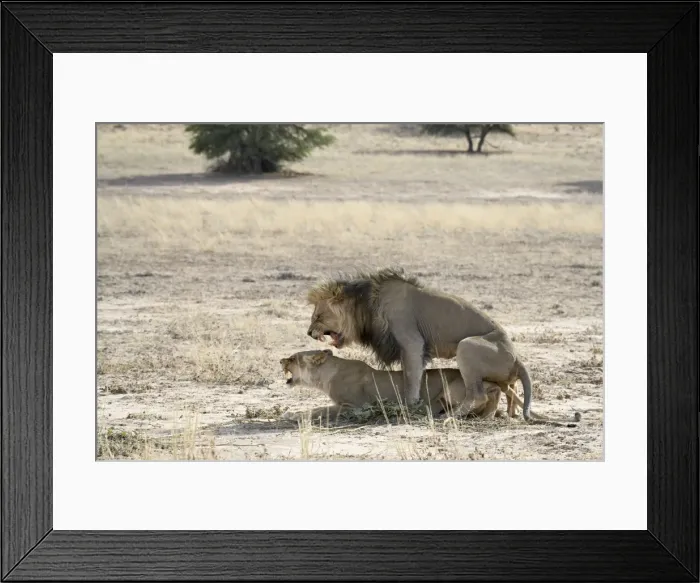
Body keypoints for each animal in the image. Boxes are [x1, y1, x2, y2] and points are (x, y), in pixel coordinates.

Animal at [279, 349, 580, 427]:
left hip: (454, 387)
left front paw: (291, 415)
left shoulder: (353, 406)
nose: (281, 360)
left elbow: (317, 409)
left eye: (294, 358)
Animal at [305, 267, 535, 420]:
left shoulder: (412, 342)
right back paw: (511, 412)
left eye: (318, 316)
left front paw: (408, 407)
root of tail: (517, 359)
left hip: (466, 346)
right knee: (509, 386)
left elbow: (411, 378)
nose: (308, 332)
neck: (367, 306)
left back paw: (449, 416)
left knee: (478, 395)